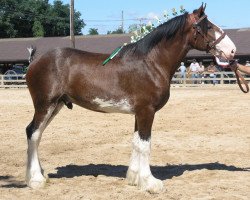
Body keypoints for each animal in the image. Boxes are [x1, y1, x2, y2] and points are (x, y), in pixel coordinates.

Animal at [24, 3, 236, 193]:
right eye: (208, 27)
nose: (232, 50)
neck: (151, 63)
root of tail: (35, 60)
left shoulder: (139, 113)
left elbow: (136, 143)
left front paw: (134, 178)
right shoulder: (147, 111)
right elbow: (145, 145)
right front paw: (150, 183)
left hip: (56, 105)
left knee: (37, 134)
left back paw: (40, 174)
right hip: (45, 105)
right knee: (33, 133)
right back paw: (35, 180)